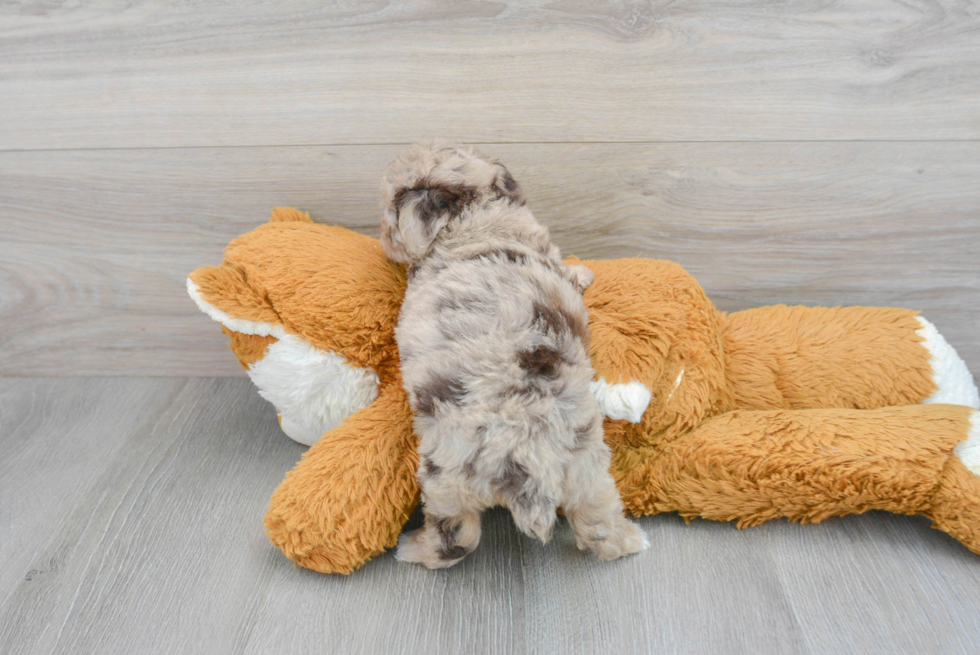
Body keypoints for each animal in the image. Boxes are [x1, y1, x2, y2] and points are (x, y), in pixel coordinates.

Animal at [378, 144, 648, 568]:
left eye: (390, 212)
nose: (382, 237)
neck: (475, 218)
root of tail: (527, 452)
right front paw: (583, 274)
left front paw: (582, 273)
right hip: (586, 470)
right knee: (597, 525)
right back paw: (631, 541)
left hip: (444, 479)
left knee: (456, 540)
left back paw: (412, 548)